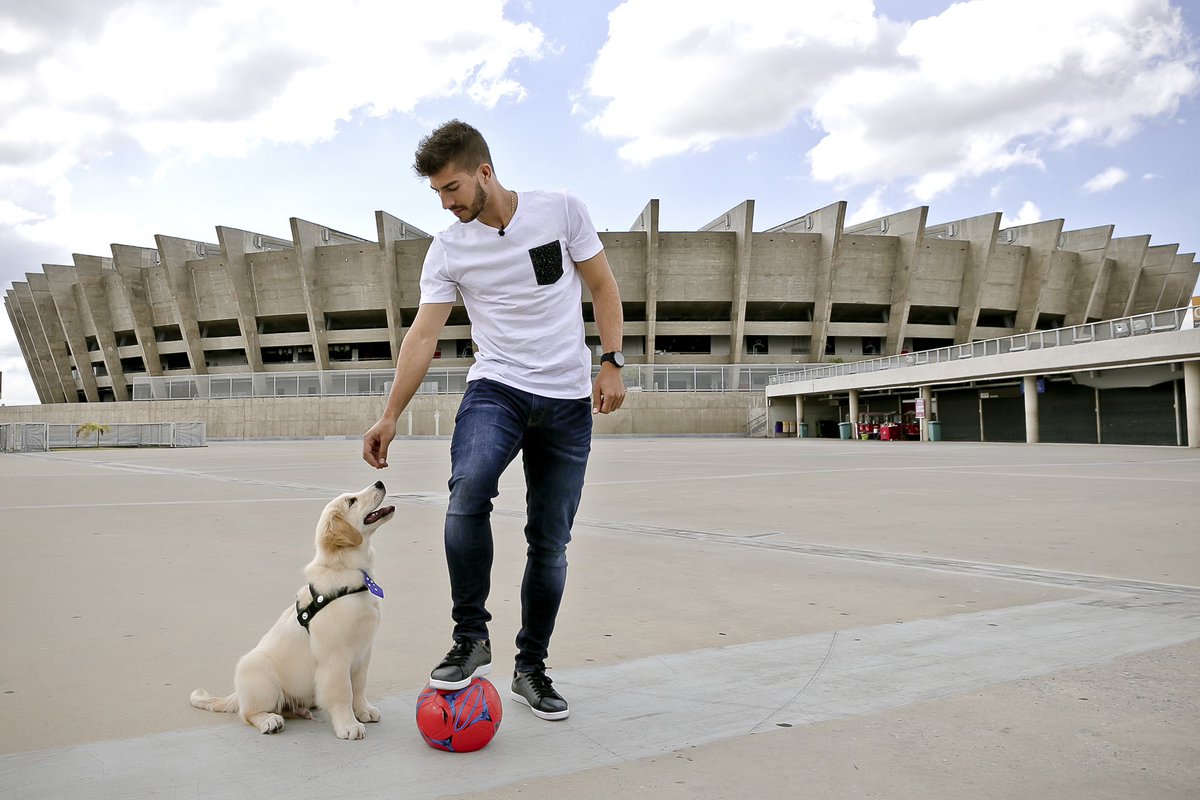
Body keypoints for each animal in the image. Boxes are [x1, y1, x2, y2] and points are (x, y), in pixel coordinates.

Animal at [192, 482, 396, 738]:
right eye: (352, 502)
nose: (380, 483)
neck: (348, 572)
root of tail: (237, 695)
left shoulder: (364, 651)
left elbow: (358, 686)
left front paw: (363, 710)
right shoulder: (336, 657)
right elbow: (343, 692)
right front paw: (348, 725)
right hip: (258, 672)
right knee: (248, 714)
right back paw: (270, 720)